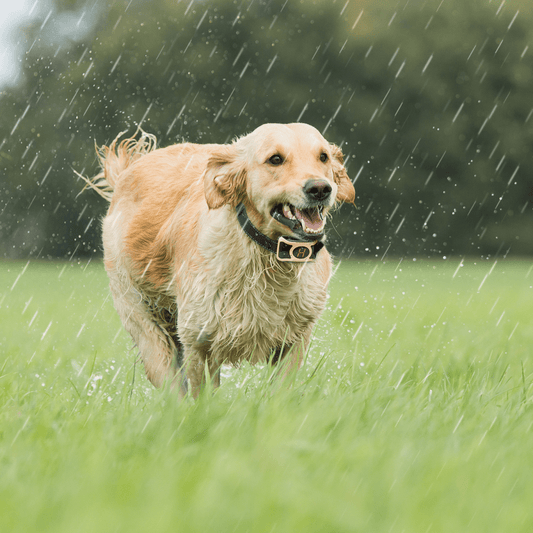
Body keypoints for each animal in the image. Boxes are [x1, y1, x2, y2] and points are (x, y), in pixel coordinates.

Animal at [82, 121, 354, 394]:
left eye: (323, 157)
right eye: (275, 159)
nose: (320, 188)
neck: (265, 255)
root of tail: (128, 171)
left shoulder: (295, 338)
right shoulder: (198, 340)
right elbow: (203, 397)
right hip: (144, 323)